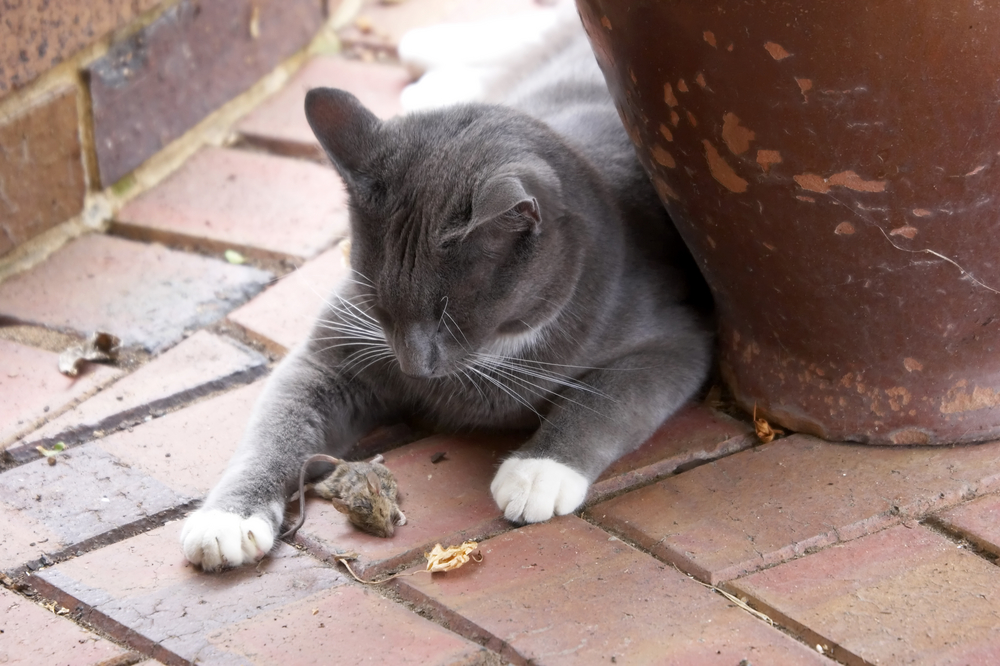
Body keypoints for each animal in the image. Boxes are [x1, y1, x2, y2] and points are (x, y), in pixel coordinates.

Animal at [180, 24, 712, 564]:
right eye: (377, 302)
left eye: (448, 314)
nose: (413, 365)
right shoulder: (330, 354)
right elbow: (277, 427)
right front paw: (228, 519)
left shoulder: (676, 336)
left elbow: (607, 401)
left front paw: (537, 473)